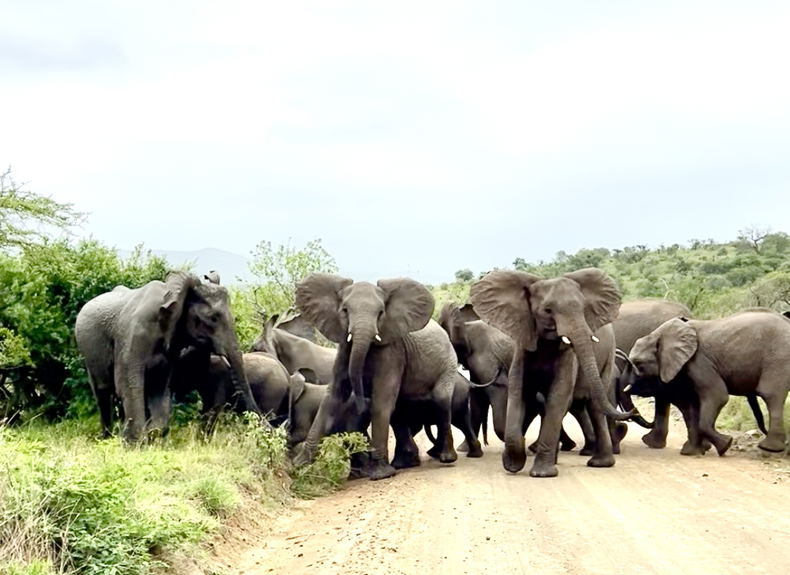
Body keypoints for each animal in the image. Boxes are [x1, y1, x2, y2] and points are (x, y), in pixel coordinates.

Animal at [75, 272, 259, 443]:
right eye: (213, 318)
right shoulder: (132, 335)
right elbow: (129, 383)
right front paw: (133, 445)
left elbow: (159, 385)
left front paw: (151, 437)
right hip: (89, 351)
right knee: (102, 391)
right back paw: (106, 438)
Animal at [292, 274, 482, 480]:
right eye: (344, 310)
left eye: (381, 313)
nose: (360, 404)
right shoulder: (344, 348)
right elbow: (332, 397)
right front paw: (298, 468)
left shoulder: (393, 351)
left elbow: (381, 402)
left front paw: (379, 475)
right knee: (400, 409)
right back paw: (404, 464)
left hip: (447, 363)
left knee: (440, 400)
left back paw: (446, 458)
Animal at [470, 268, 635, 477]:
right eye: (548, 310)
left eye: (583, 309)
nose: (634, 410)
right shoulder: (523, 344)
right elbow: (519, 393)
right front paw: (513, 463)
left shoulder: (568, 356)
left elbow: (558, 396)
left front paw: (542, 474)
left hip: (608, 359)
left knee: (595, 405)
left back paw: (600, 463)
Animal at [628, 309, 790, 455]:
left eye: (638, 364)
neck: (659, 334)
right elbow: (690, 405)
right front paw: (693, 451)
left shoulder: (698, 361)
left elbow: (717, 396)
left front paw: (725, 445)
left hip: (778, 357)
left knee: (770, 394)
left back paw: (769, 448)